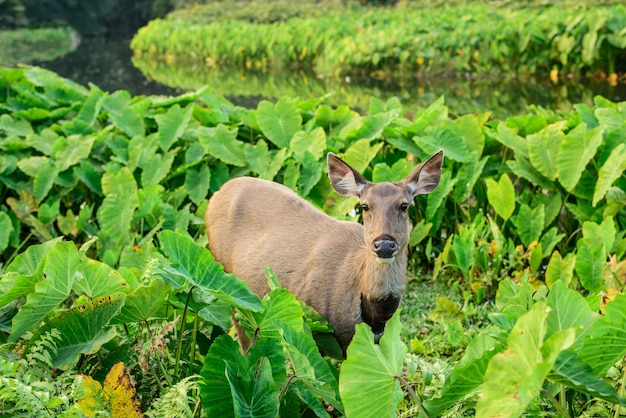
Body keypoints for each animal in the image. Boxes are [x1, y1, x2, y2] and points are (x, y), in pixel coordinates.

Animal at [207, 150, 442, 352]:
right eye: (365, 206)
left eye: (404, 205)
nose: (384, 244)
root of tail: (217, 193)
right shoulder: (315, 327)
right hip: (234, 291)